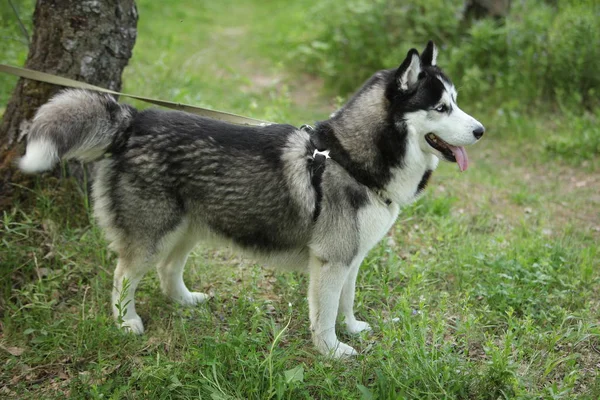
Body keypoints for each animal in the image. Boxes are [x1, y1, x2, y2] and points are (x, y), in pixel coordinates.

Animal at [19, 42, 482, 358]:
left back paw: (184, 301)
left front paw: (352, 330)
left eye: (456, 102)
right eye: (441, 107)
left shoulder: (351, 258)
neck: (349, 158)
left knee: (168, 269)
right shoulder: (331, 260)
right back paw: (126, 321)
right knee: (122, 277)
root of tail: (136, 121)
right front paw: (332, 351)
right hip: (151, 234)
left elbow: (346, 303)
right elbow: (324, 314)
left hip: (190, 227)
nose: (480, 131)